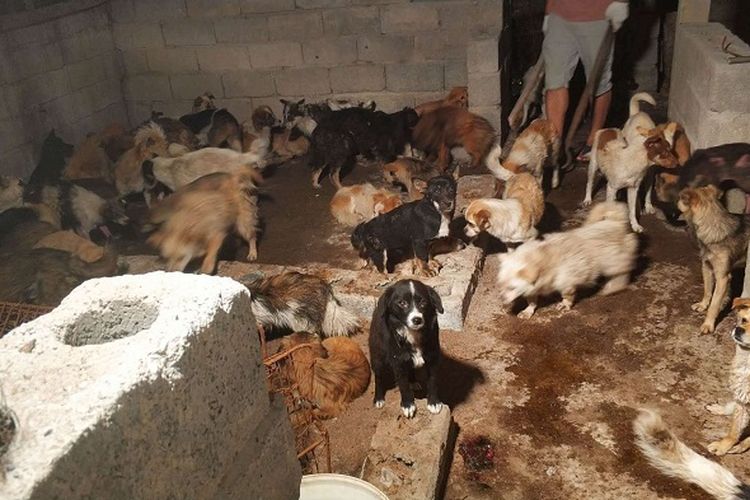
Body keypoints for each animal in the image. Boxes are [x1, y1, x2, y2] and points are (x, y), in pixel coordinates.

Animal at [369, 279, 444, 418]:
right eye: (402, 303)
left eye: (423, 302)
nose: (417, 320)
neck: (412, 334)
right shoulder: (398, 362)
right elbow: (403, 386)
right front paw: (408, 405)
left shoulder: (433, 358)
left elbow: (433, 380)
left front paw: (434, 402)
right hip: (377, 357)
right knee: (378, 377)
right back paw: (378, 398)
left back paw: (413, 381)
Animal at [497, 201, 638, 318]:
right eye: (500, 286)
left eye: (512, 288)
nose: (501, 298)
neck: (543, 258)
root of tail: (616, 222)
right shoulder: (531, 288)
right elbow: (531, 300)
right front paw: (528, 311)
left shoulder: (567, 283)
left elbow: (567, 296)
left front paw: (565, 304)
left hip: (613, 262)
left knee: (623, 272)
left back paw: (613, 287)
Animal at [677, 185, 750, 333]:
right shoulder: (707, 268)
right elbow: (707, 290)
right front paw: (702, 305)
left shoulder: (723, 278)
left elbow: (714, 305)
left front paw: (708, 324)